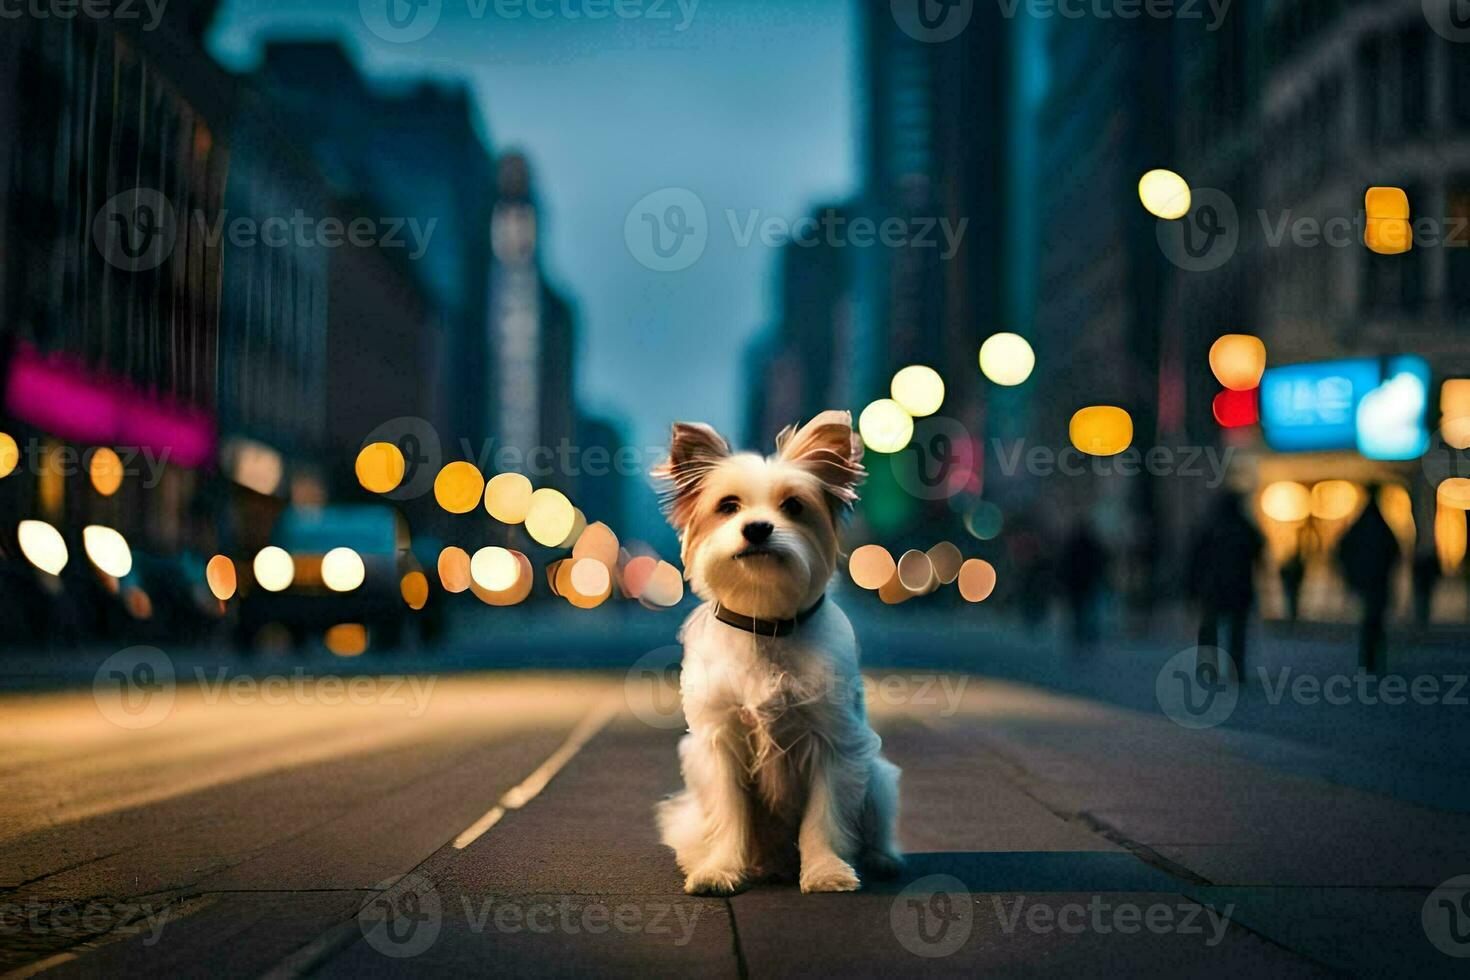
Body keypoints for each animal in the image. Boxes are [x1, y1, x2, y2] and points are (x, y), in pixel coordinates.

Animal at [652, 411, 899, 893]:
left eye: (794, 507)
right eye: (728, 506)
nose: (757, 528)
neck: (765, 623)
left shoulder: (834, 745)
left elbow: (823, 818)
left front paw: (825, 871)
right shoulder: (720, 745)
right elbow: (730, 815)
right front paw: (721, 869)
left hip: (877, 778)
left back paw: (881, 859)